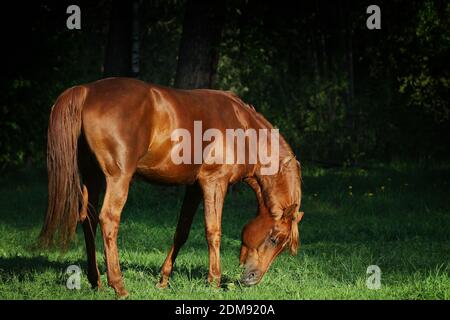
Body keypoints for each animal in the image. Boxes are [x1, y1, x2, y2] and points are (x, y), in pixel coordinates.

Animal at [39, 77, 302, 298]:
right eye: (275, 238)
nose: (251, 279)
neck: (243, 130)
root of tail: (87, 90)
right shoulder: (214, 183)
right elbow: (213, 232)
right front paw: (214, 282)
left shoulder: (194, 188)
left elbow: (181, 232)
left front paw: (163, 280)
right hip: (118, 178)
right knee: (108, 219)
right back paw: (119, 286)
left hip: (91, 177)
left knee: (89, 220)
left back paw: (97, 282)